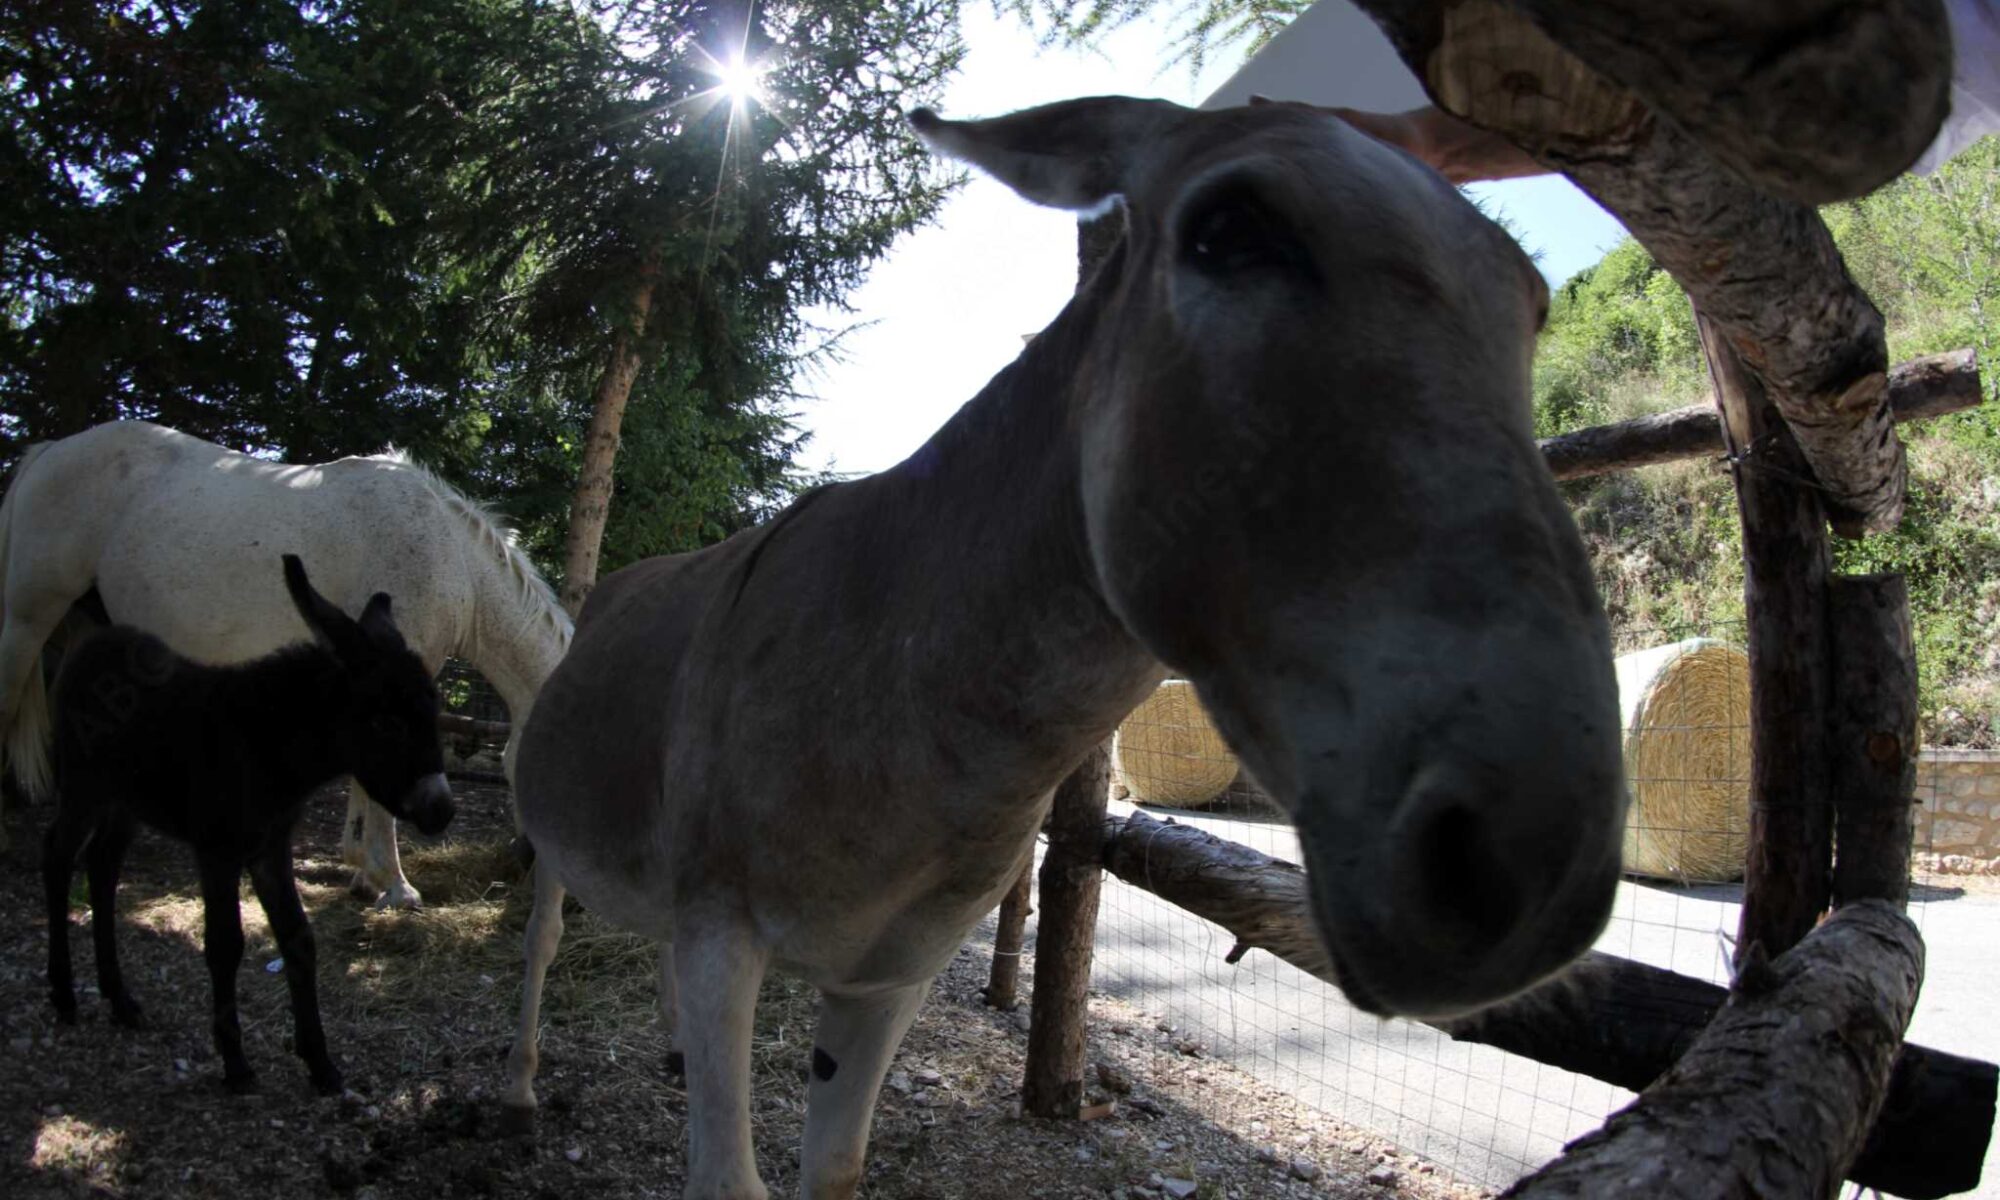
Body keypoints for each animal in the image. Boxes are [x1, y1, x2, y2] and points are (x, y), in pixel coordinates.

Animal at [0, 420, 571, 907]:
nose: (529, 863)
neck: (451, 558)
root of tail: (48, 452)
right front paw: (394, 884)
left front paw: (364, 874)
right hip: (28, 617)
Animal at [45, 554, 453, 1094]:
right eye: (388, 723)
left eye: (434, 712)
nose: (441, 810)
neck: (265, 747)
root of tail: (95, 642)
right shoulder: (217, 850)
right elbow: (225, 944)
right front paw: (236, 1064)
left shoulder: (270, 848)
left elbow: (299, 938)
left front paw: (320, 1064)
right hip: (83, 785)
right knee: (57, 857)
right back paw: (64, 994)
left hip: (126, 801)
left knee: (102, 865)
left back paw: (120, 999)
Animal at [502, 95, 1629, 1200]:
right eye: (1229, 231)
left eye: (1531, 306)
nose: (1539, 865)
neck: (908, 707)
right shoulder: (722, 934)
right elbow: (727, 1178)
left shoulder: (888, 978)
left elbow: (837, 1168)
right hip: (563, 834)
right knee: (544, 935)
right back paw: (515, 1079)